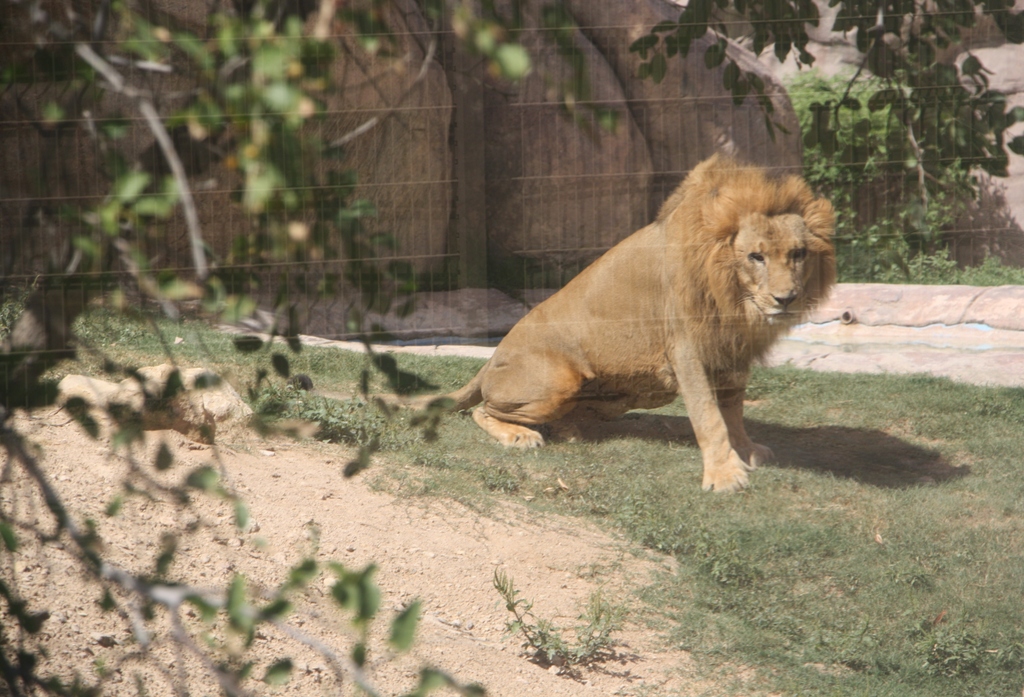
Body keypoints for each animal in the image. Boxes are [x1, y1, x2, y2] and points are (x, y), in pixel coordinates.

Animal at [446, 154, 831, 491]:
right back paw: (519, 435)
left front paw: (746, 452)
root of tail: (491, 359)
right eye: (756, 257)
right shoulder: (687, 347)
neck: (733, 297)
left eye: (798, 254)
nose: (786, 299)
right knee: (482, 411)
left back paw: (571, 431)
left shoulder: (732, 348)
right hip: (557, 381)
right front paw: (724, 477)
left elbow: (733, 409)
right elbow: (708, 414)